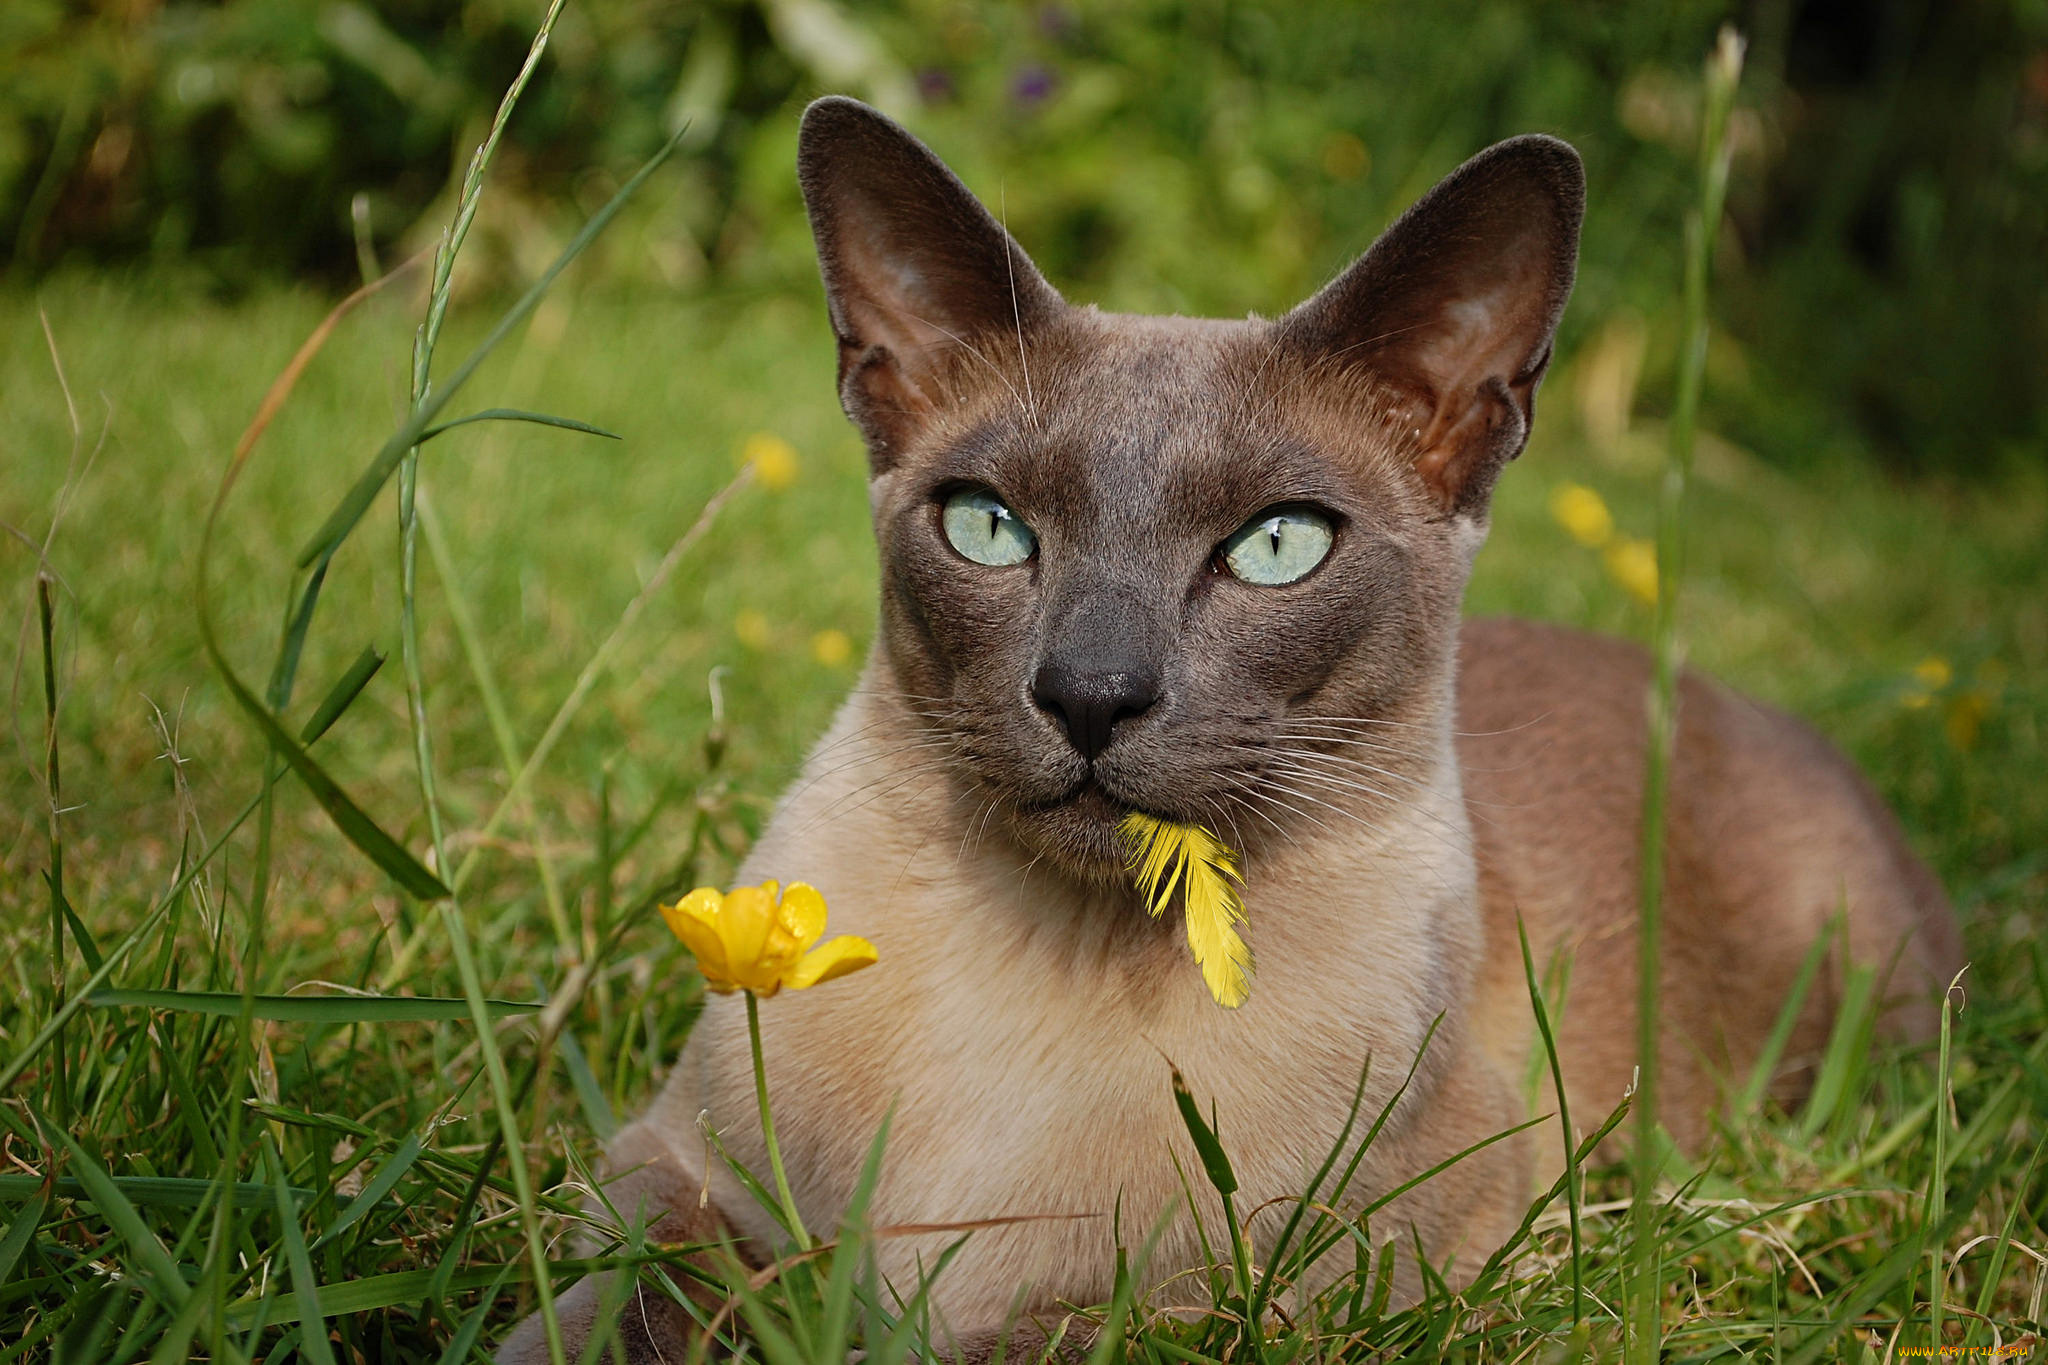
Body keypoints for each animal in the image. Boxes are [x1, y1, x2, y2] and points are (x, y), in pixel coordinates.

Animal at [499, 98, 1966, 1365]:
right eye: (988, 528)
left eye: (1275, 548)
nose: (1090, 693)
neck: (1050, 972)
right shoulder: (678, 1174)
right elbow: (622, 1306)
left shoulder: (1301, 1283)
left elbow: (1034, 1336)